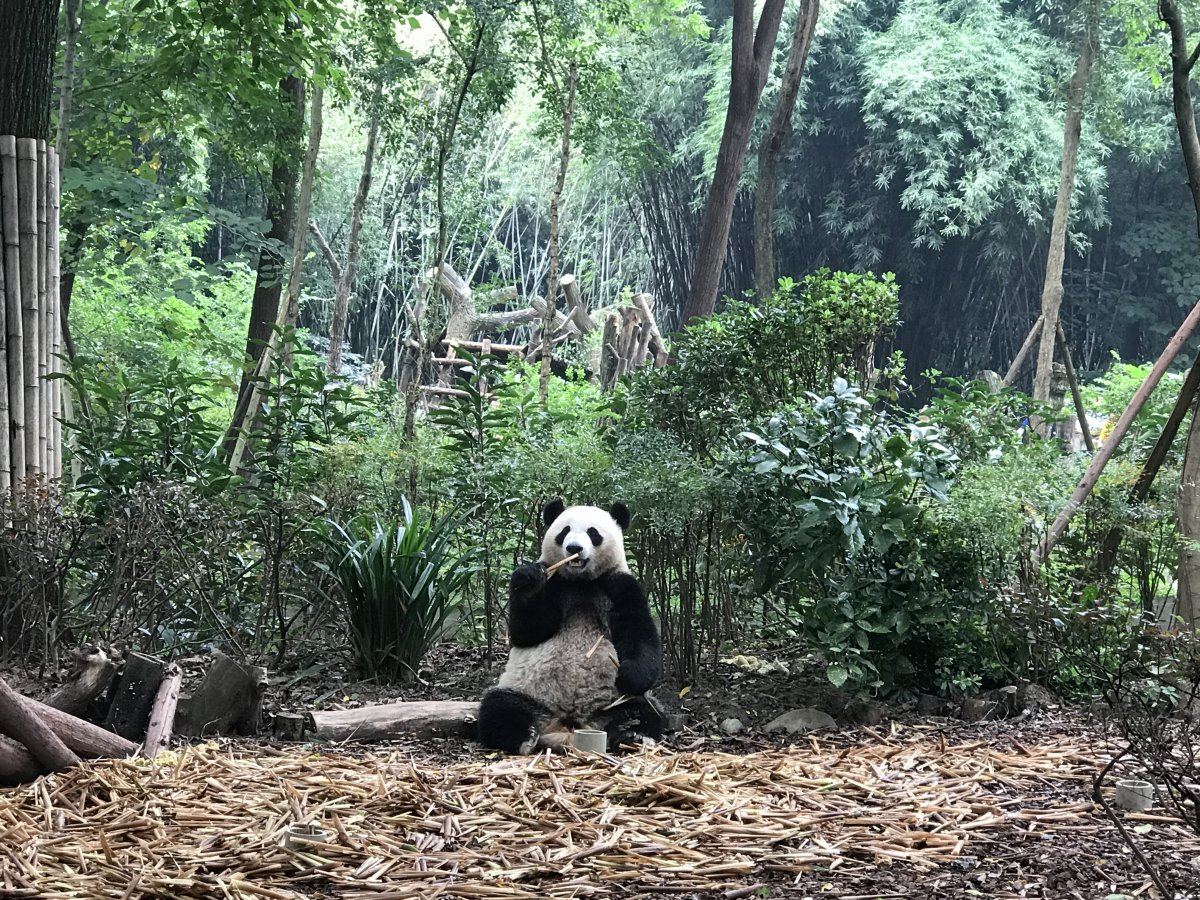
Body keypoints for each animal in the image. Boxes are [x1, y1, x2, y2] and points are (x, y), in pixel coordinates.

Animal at [477, 498, 663, 754]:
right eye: (564, 532)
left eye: (593, 533)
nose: (574, 548)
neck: (581, 582)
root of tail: (567, 725)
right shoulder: (556, 583)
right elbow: (527, 631)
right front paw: (528, 580)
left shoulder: (619, 585)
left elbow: (639, 633)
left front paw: (630, 674)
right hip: (526, 691)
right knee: (499, 706)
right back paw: (524, 737)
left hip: (616, 702)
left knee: (645, 711)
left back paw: (633, 734)